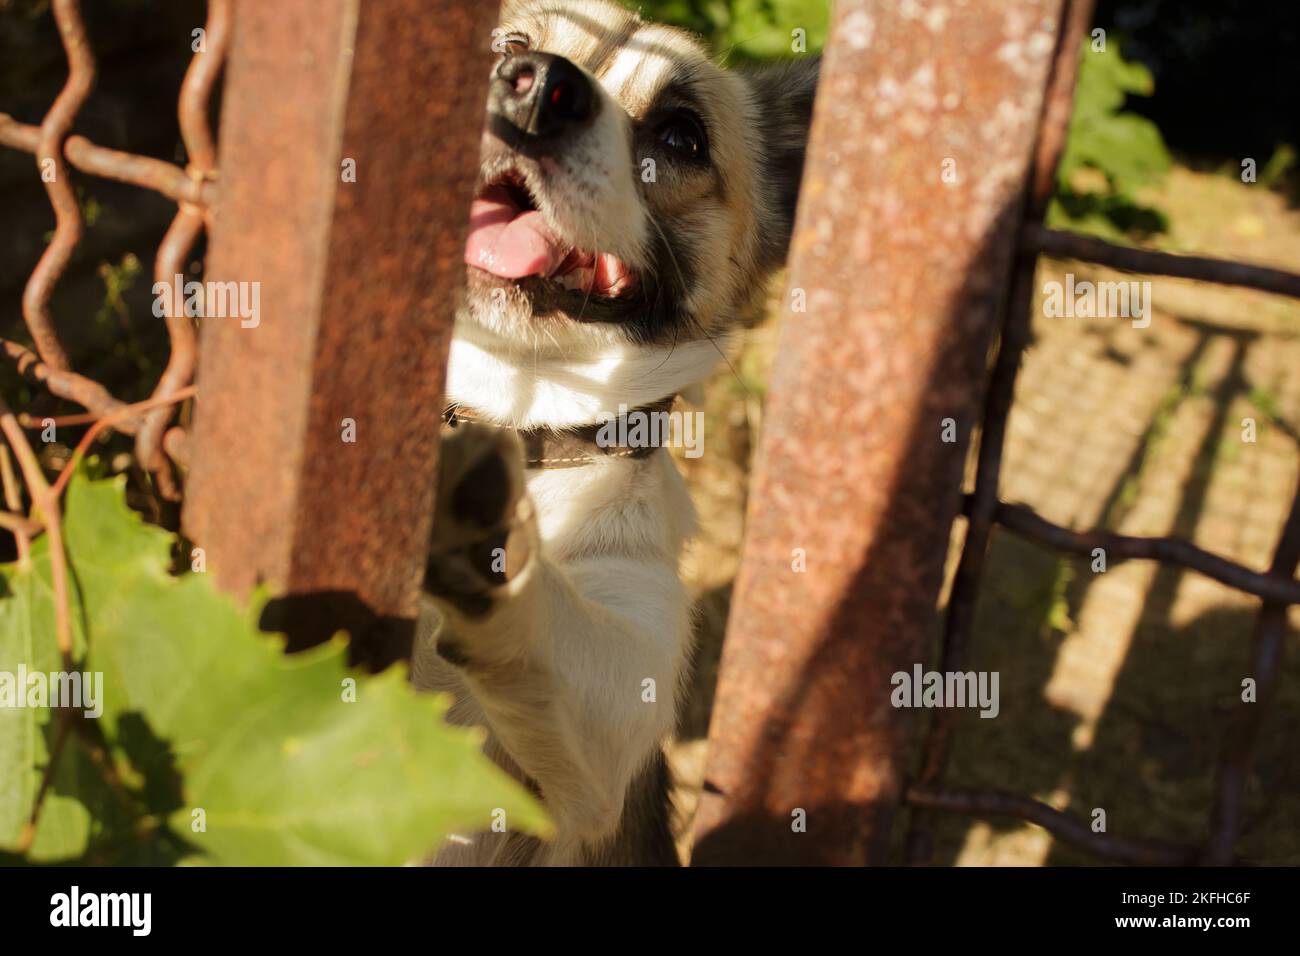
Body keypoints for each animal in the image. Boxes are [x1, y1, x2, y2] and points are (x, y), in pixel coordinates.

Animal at [410, 0, 816, 868]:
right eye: (510, 43)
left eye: (681, 136)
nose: (535, 88)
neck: (516, 412)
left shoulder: (614, 707)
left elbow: (552, 632)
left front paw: (484, 530)